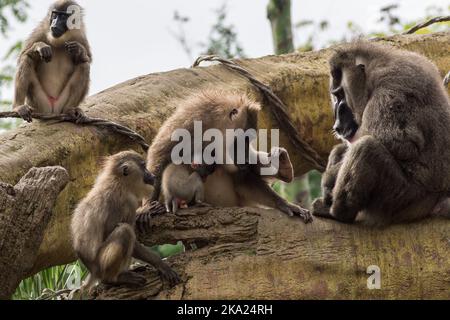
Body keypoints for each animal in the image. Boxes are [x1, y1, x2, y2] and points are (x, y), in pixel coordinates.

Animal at [71, 151, 180, 290]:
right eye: (143, 167)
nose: (151, 175)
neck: (119, 181)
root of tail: (93, 272)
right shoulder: (127, 202)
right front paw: (160, 264)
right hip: (101, 266)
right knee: (125, 231)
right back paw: (113, 279)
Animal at [312, 41, 450, 226]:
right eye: (335, 96)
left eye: (341, 95)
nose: (338, 124)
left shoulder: (389, 91)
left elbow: (398, 142)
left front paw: (329, 180)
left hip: (404, 199)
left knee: (366, 148)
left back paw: (338, 213)